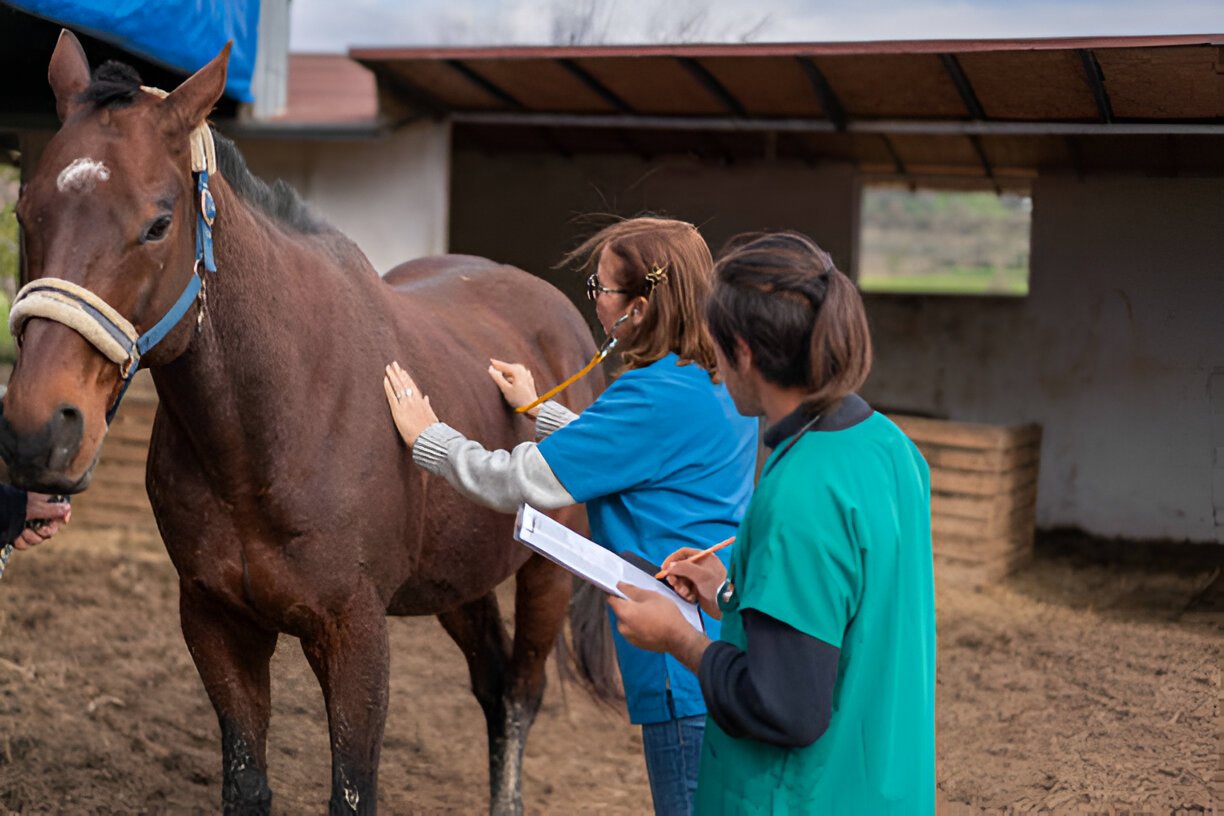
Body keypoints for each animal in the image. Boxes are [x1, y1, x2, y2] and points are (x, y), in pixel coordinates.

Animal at [0, 31, 615, 815]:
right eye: (26, 211)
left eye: (158, 222)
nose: (37, 430)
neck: (274, 425)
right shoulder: (216, 623)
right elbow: (246, 784)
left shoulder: (355, 634)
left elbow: (352, 790)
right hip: (461, 578)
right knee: (492, 681)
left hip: (547, 572)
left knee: (519, 694)